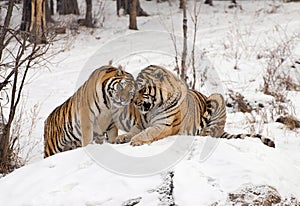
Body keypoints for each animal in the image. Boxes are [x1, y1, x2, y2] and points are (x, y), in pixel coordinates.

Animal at [116, 65, 276, 147]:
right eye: (134, 89)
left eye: (142, 90)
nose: (133, 102)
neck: (151, 110)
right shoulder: (140, 125)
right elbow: (132, 132)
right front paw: (121, 138)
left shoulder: (163, 125)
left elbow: (148, 132)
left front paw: (136, 141)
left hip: (216, 97)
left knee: (209, 134)